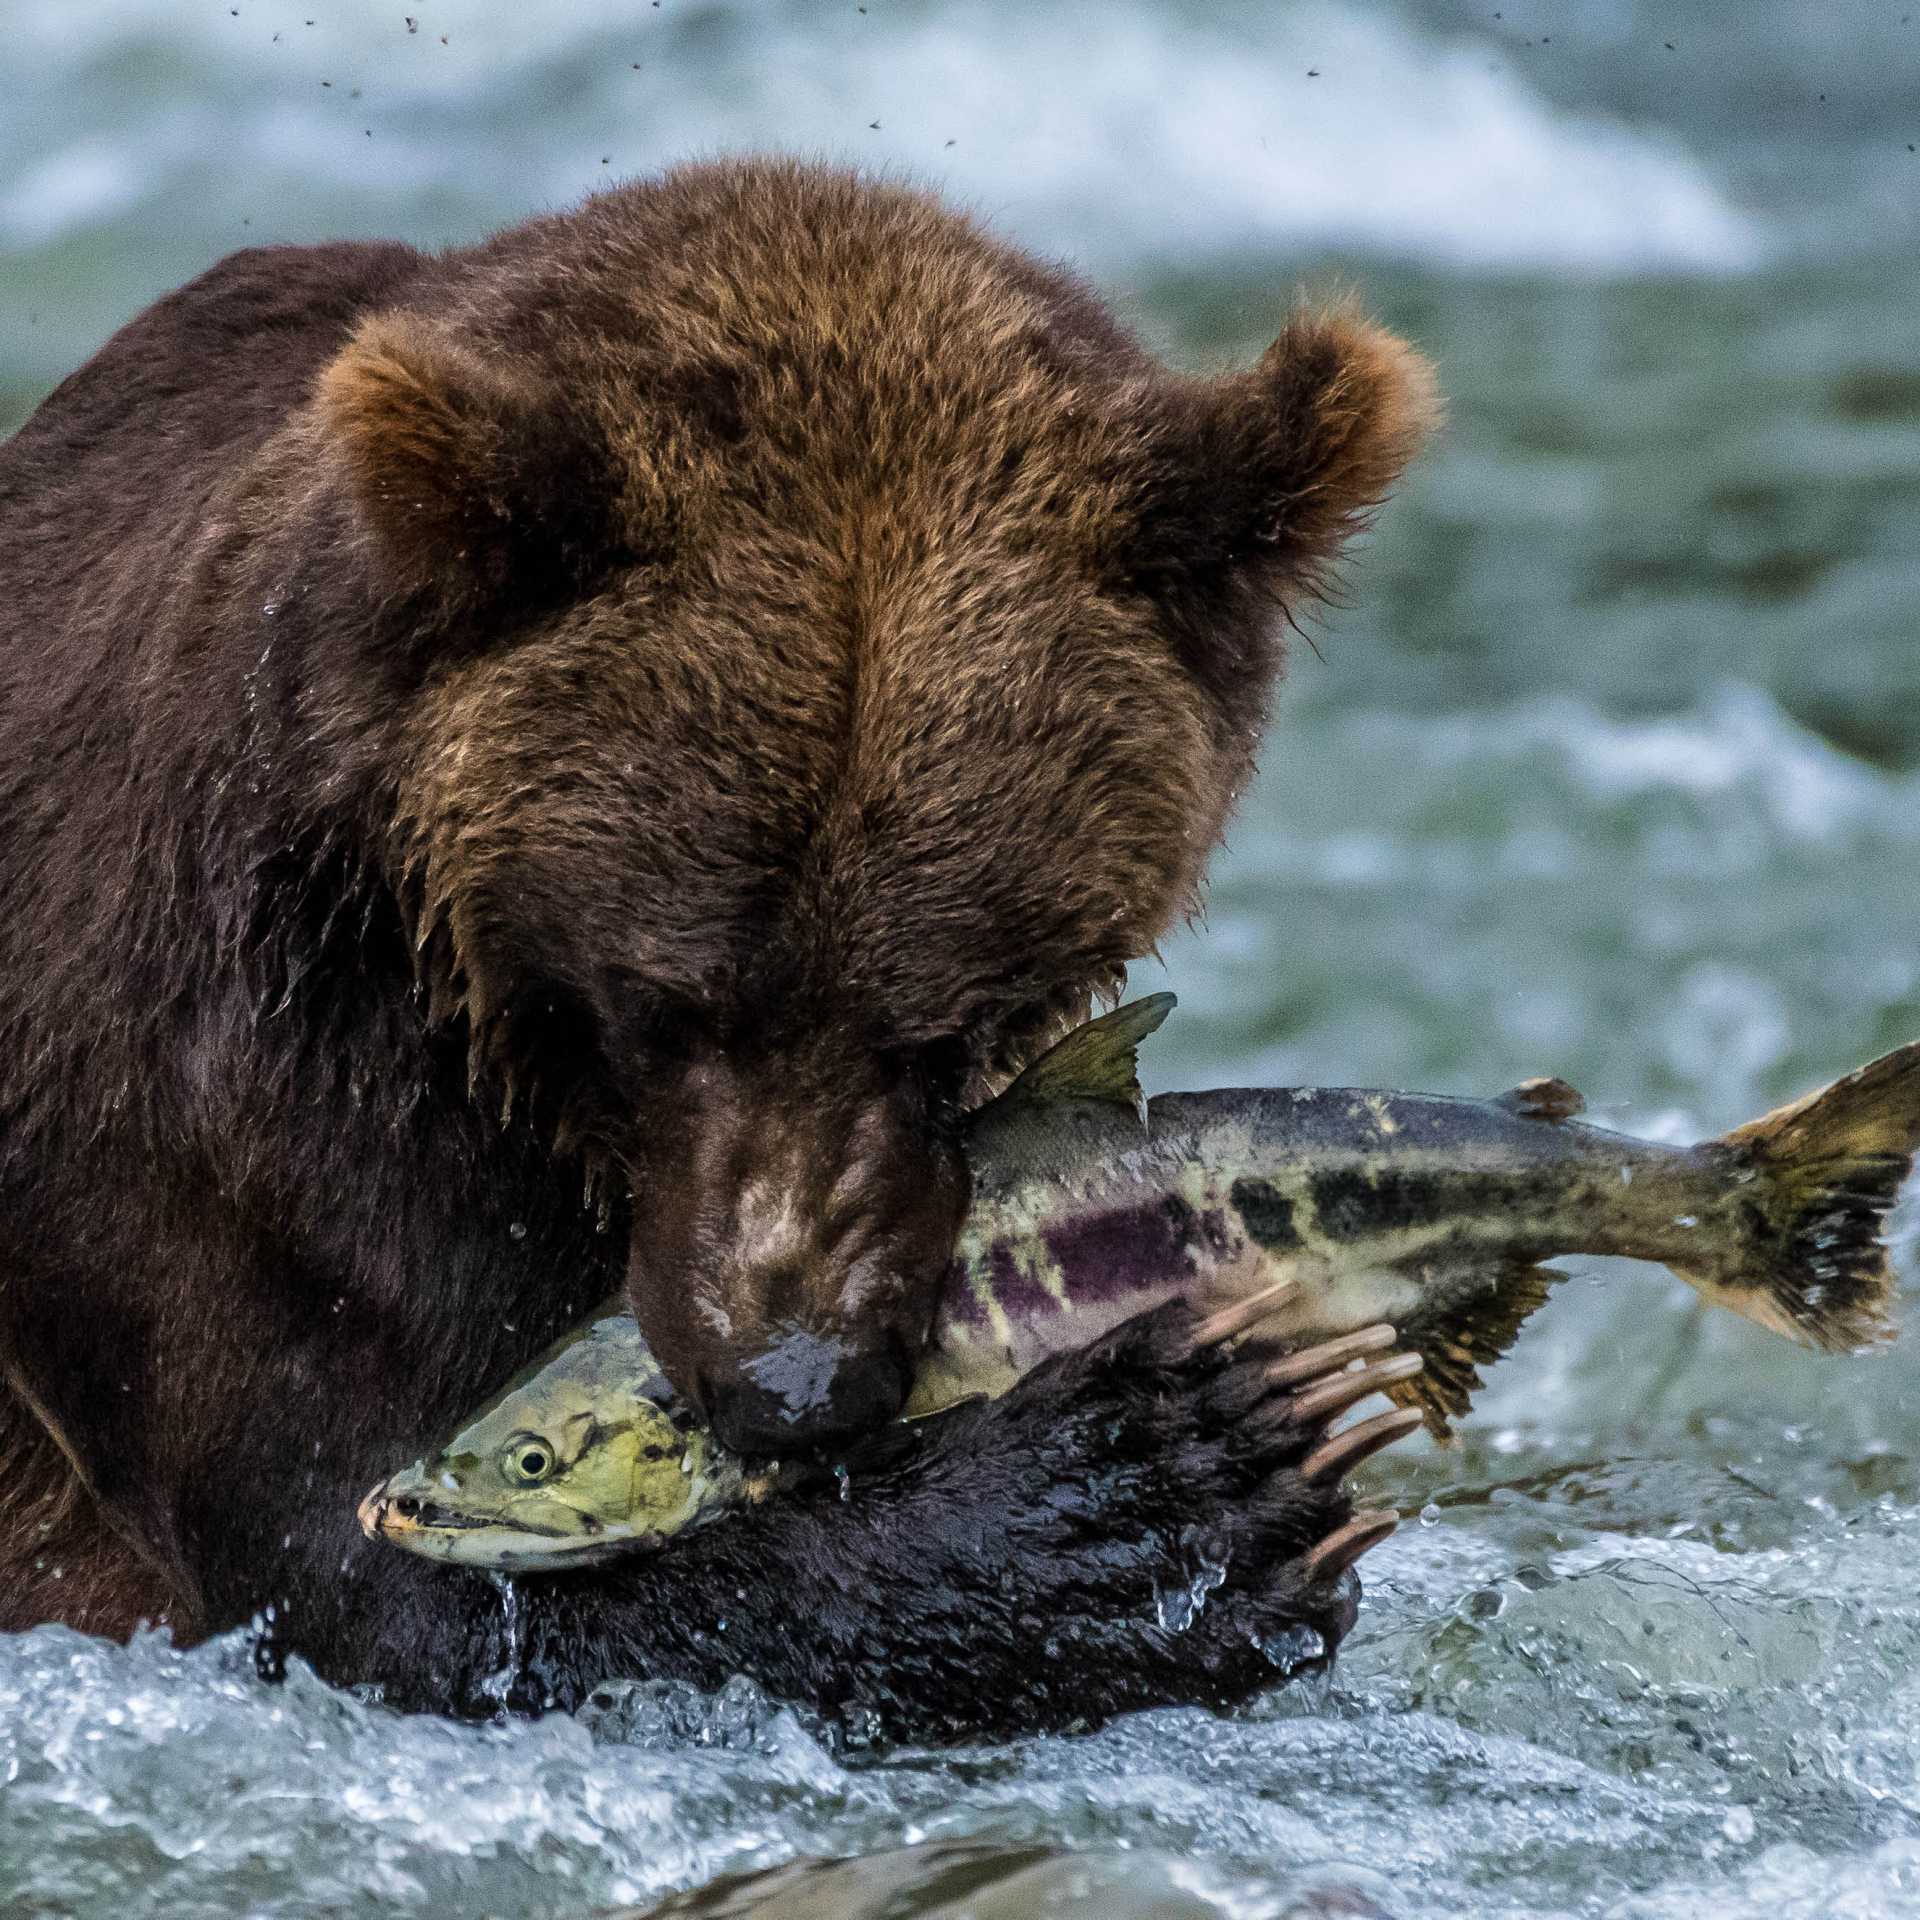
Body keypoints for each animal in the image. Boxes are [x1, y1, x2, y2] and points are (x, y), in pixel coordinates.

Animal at [0, 159, 1436, 1736]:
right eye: (662, 1005)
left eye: (949, 1020)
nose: (789, 1384)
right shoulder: (231, 1088)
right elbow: (379, 1579)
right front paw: (1154, 1487)